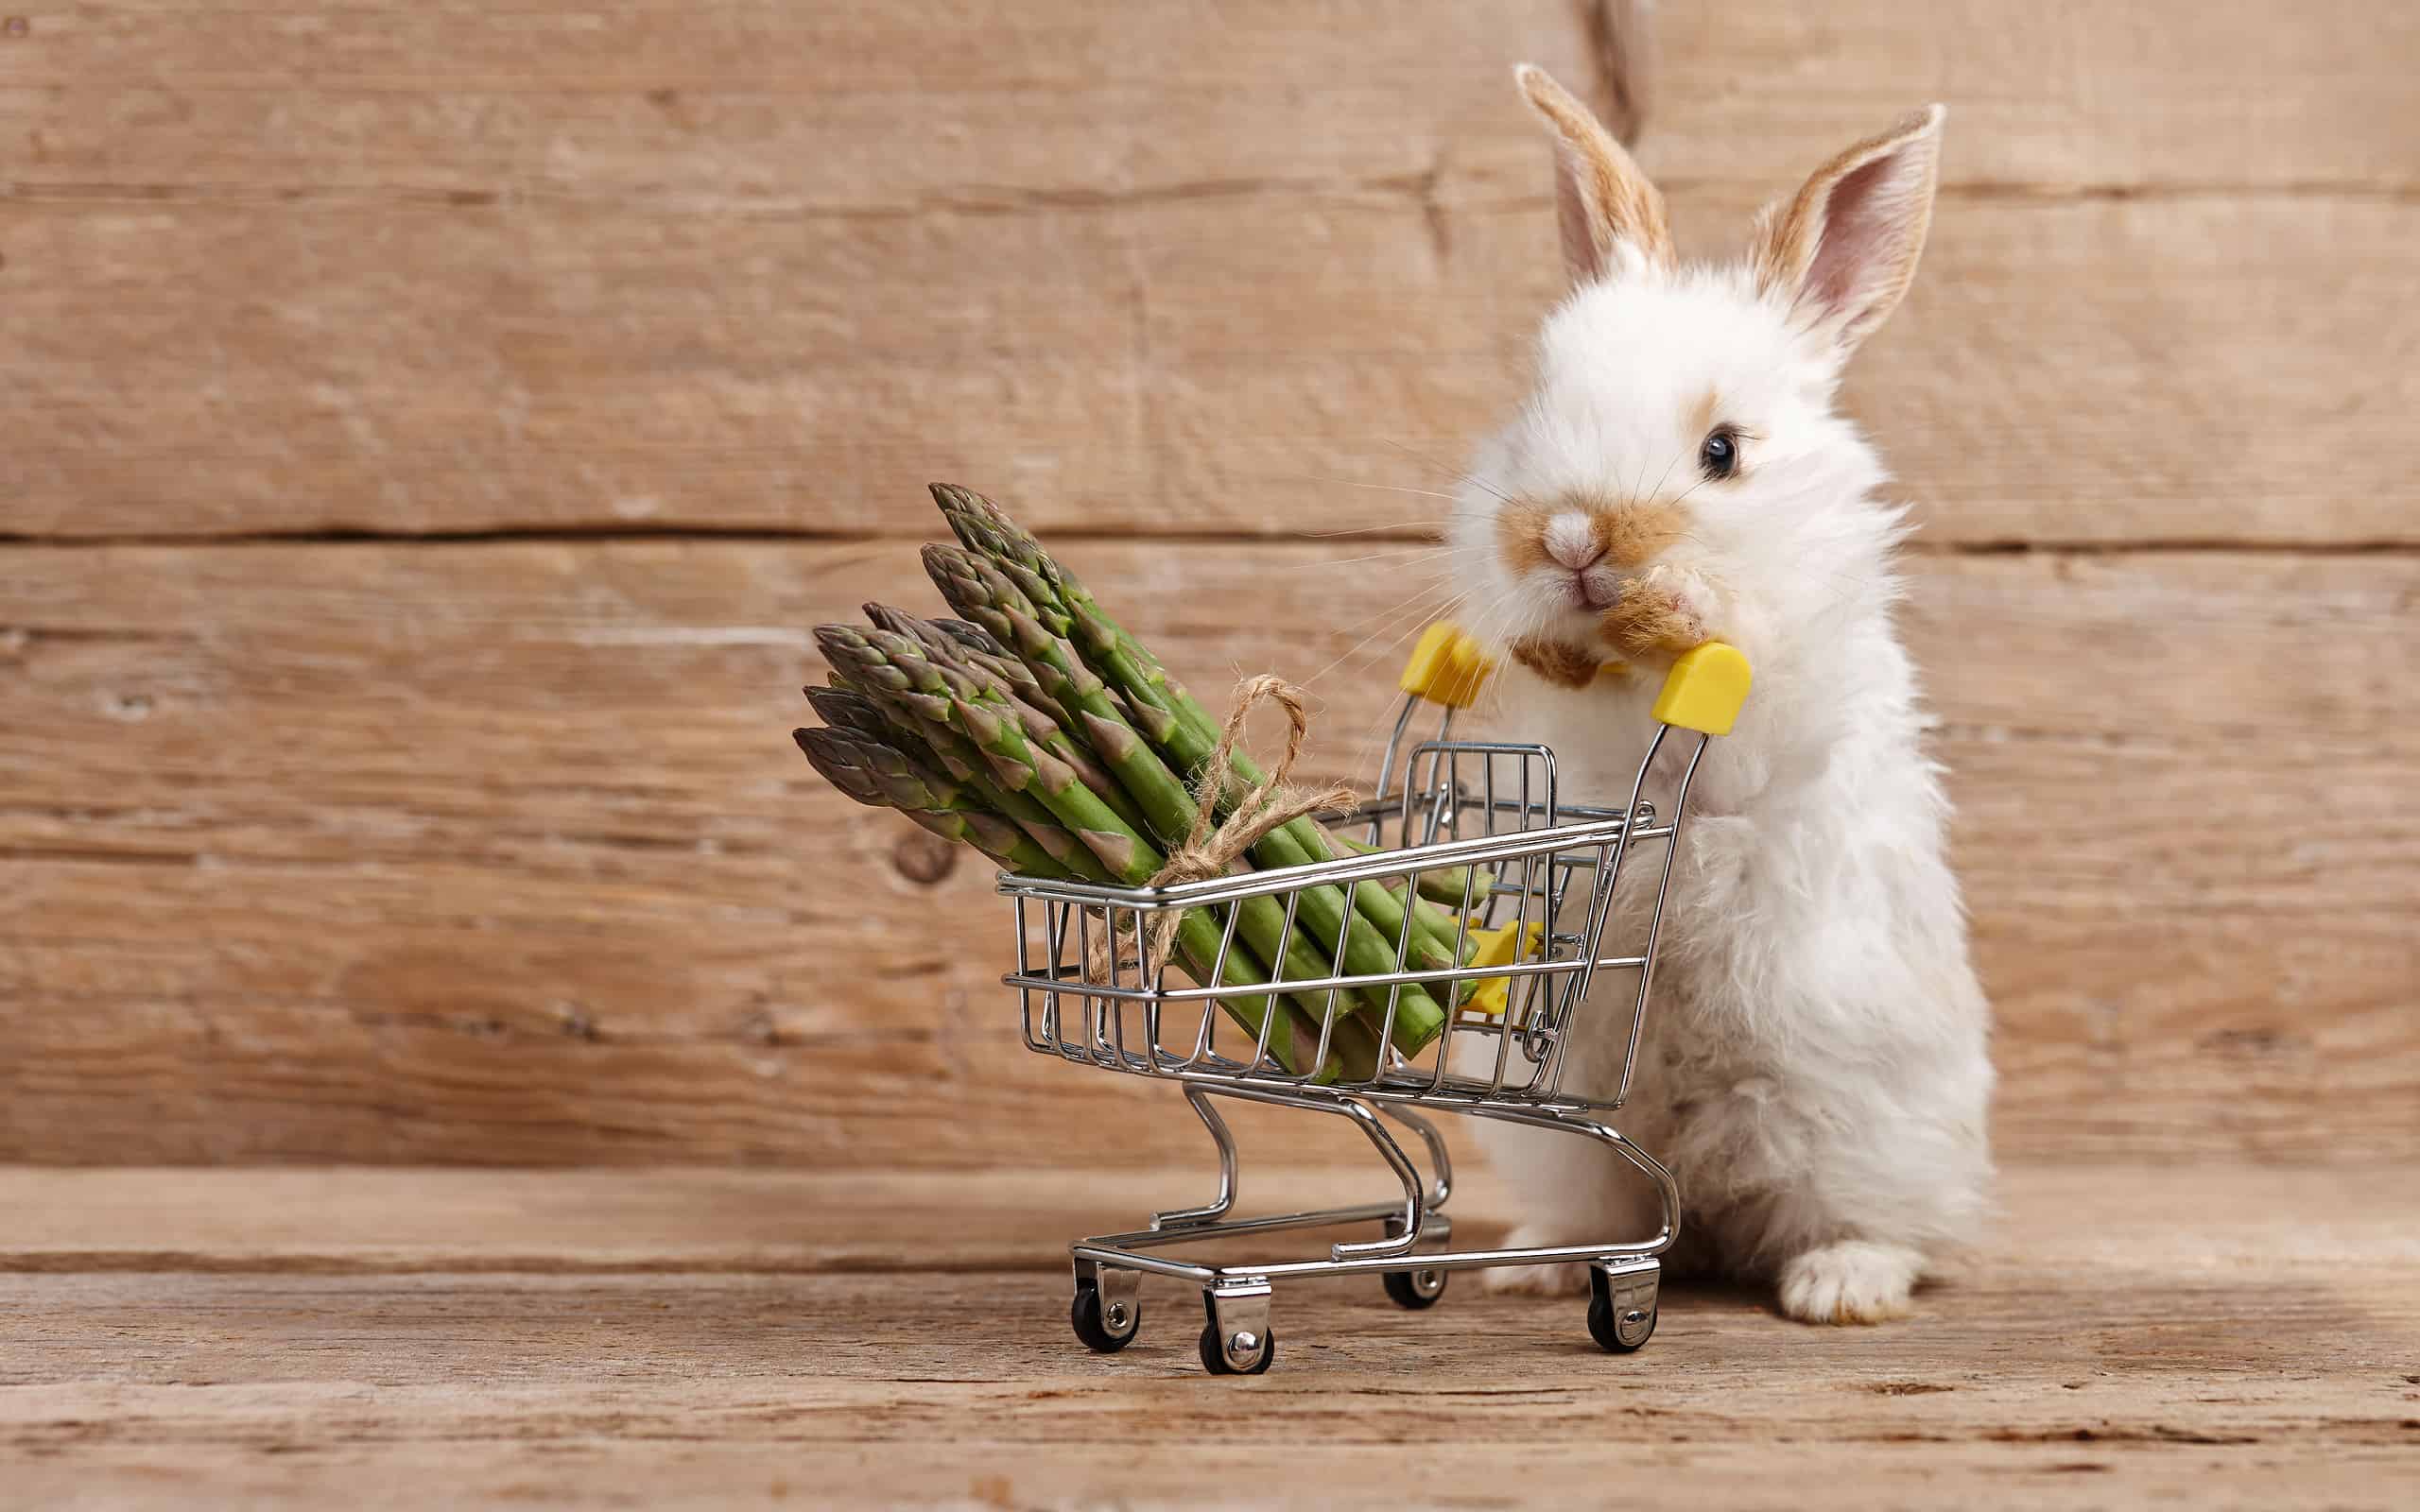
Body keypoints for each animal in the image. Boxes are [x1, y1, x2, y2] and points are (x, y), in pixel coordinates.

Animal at [1439, 65, 1994, 1324]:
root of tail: (1708, 1213)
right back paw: (1529, 1265)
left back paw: (1838, 1286)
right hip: (1562, 1124)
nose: (1571, 536)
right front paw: (1554, 639)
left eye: (1723, 452)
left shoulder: (1769, 696)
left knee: (1885, 1223)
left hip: (1856, 1115)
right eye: (1533, 412)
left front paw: (1676, 606)